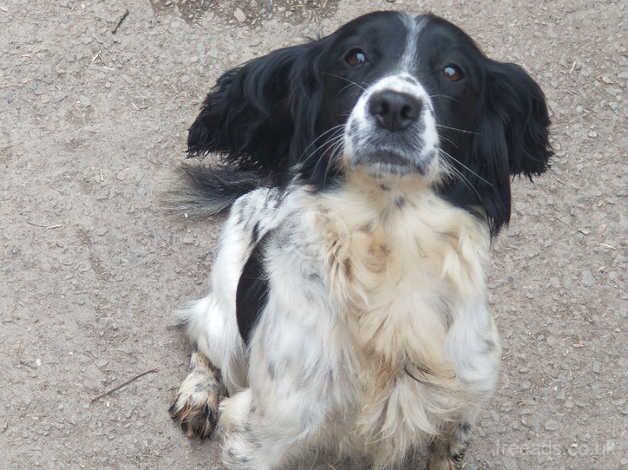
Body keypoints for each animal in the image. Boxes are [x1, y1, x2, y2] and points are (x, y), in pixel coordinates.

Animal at [169, 11, 552, 470]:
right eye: (355, 56)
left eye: (452, 71)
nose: (394, 107)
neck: (387, 248)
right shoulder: (266, 432)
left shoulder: (456, 410)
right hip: (226, 313)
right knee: (204, 341)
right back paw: (198, 395)